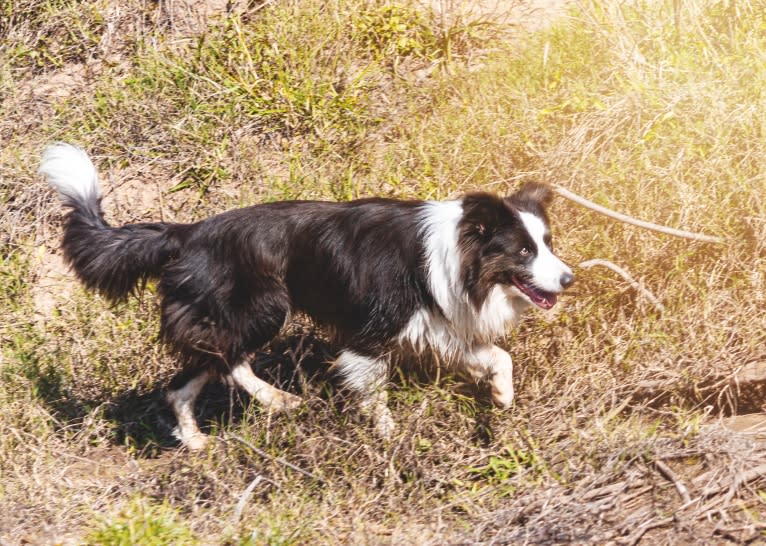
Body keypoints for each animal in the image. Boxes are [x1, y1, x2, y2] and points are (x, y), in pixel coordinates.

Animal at [39, 142, 572, 448]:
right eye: (524, 251)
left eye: (548, 243)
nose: (568, 279)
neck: (456, 256)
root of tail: (185, 233)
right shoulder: (370, 329)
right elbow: (373, 388)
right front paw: (388, 437)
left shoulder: (435, 321)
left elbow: (497, 355)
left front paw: (502, 396)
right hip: (262, 304)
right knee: (223, 362)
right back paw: (275, 403)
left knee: (192, 377)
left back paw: (202, 439)